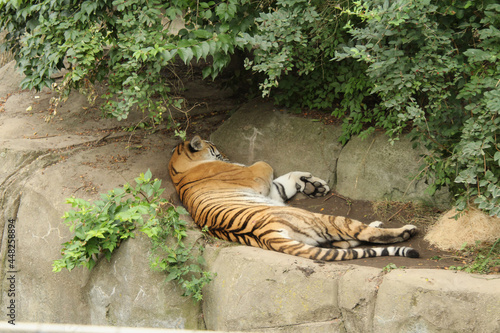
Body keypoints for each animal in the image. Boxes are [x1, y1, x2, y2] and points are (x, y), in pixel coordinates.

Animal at [168, 135, 418, 260]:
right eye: (217, 151)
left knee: (344, 241)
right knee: (361, 233)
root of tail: (268, 236)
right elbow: (266, 164)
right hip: (320, 218)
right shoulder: (257, 175)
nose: (227, 156)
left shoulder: (272, 191)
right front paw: (312, 185)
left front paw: (314, 186)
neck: (177, 168)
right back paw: (405, 230)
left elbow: (287, 180)